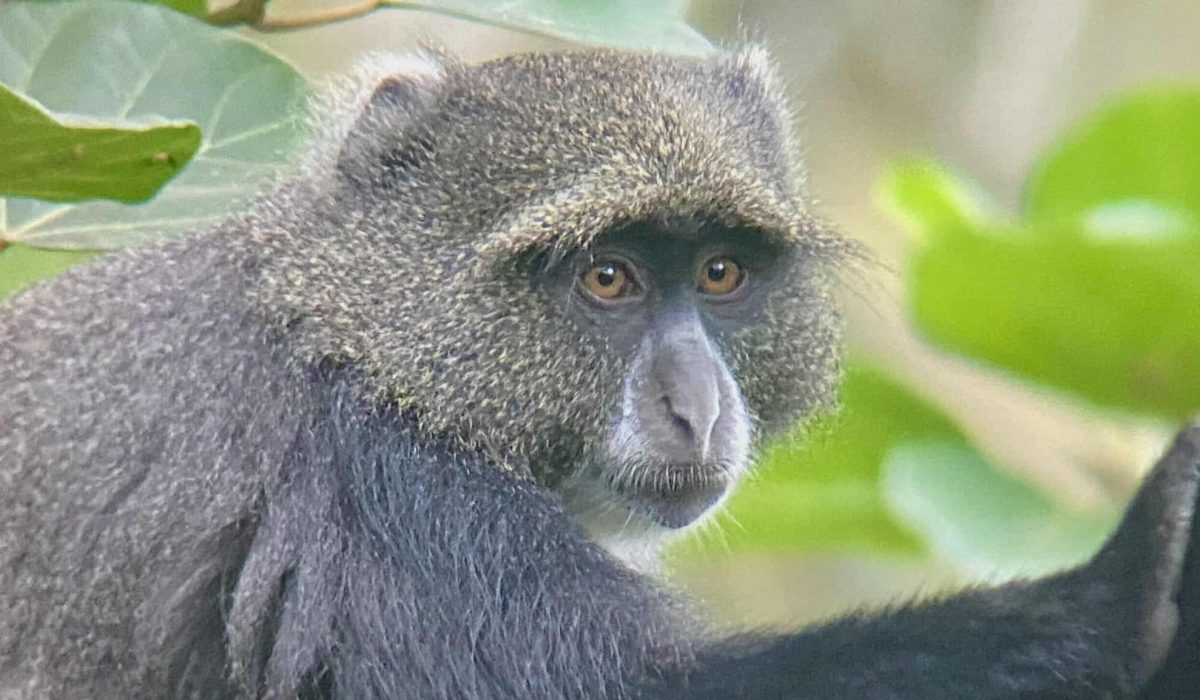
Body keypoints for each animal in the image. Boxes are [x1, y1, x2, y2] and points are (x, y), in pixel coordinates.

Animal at [2, 47, 1200, 699]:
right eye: (608, 278)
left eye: (720, 273)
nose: (697, 408)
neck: (362, 339)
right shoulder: (387, 500)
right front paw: (1122, 587)